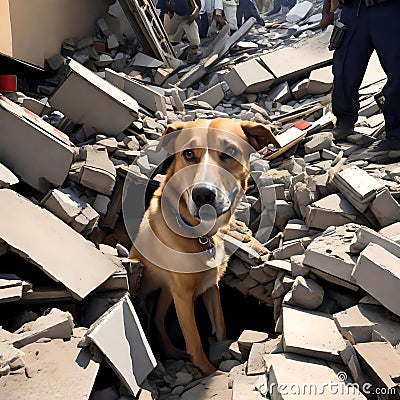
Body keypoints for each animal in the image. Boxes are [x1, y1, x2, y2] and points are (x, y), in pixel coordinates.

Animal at [130, 117, 276, 374]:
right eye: (188, 153)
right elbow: (195, 339)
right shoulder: (183, 295)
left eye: (230, 151)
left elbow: (220, 325)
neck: (200, 235)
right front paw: (208, 371)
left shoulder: (211, 286)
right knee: (156, 321)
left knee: (158, 320)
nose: (203, 195)